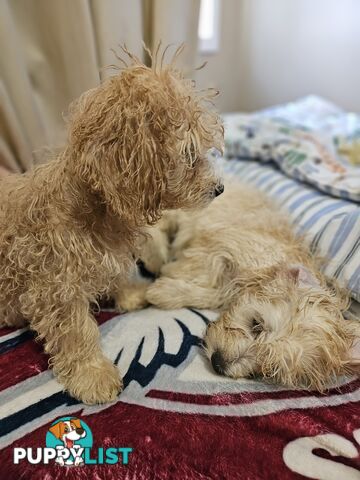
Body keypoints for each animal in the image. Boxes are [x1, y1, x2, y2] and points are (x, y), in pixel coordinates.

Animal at [0, 46, 224, 404]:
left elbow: (118, 274)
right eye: (189, 156)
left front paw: (130, 293)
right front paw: (92, 375)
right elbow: (76, 332)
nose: (220, 189)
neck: (96, 211)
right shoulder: (55, 288)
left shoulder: (111, 253)